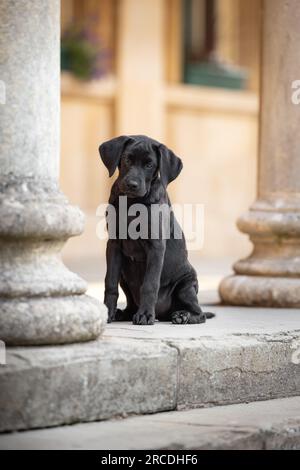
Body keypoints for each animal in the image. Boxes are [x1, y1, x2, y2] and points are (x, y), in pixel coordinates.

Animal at [99, 134, 214, 324]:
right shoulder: (113, 244)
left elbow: (150, 284)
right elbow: (110, 282)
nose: (132, 185)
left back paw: (182, 315)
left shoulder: (156, 246)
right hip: (124, 275)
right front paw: (107, 311)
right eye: (127, 159)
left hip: (186, 285)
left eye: (149, 165)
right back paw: (121, 313)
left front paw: (145, 314)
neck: (132, 203)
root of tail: (163, 314)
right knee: (130, 305)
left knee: (201, 313)